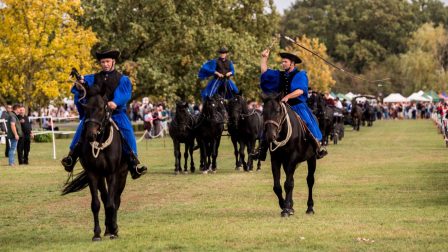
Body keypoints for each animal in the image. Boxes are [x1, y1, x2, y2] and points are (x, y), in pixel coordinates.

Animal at [62, 94, 128, 240]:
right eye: (86, 110)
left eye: (102, 109)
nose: (90, 135)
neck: (101, 143)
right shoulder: (93, 174)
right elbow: (96, 204)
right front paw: (97, 233)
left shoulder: (112, 174)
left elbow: (111, 203)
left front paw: (114, 230)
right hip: (101, 178)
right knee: (104, 197)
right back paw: (108, 228)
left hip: (122, 175)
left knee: (116, 199)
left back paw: (113, 228)